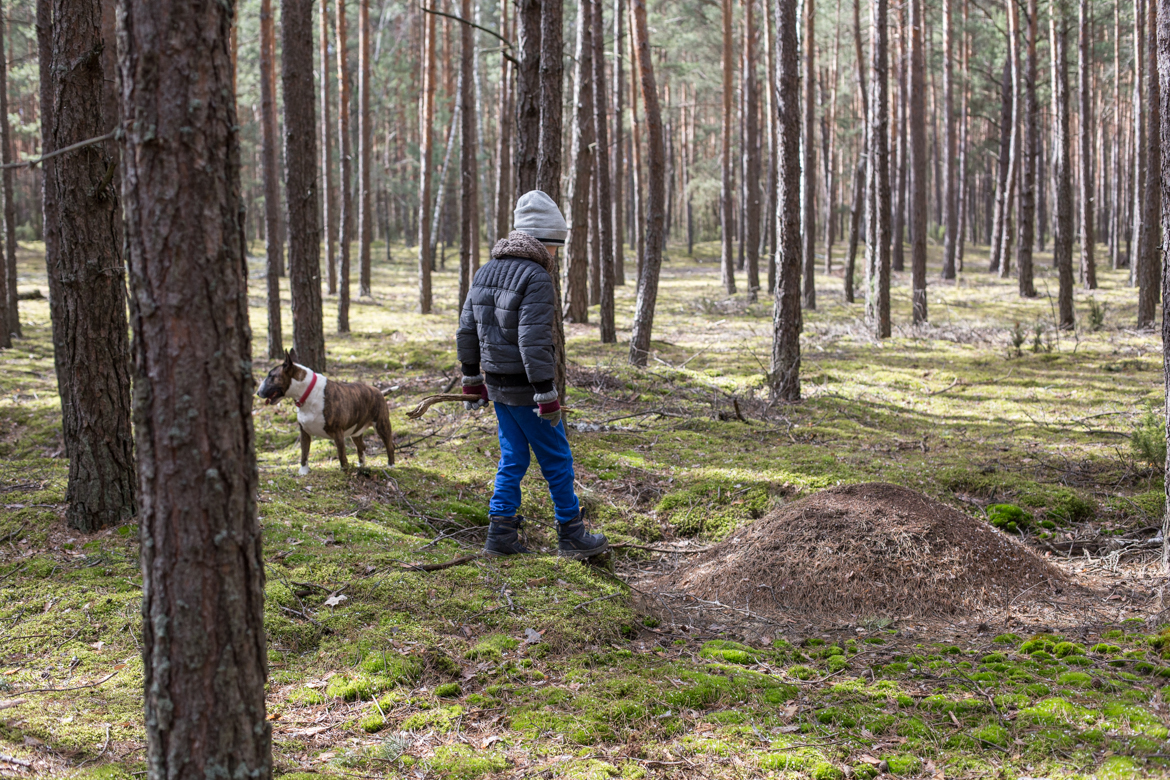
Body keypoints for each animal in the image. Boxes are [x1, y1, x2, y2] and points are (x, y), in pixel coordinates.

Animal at [256, 350, 393, 472]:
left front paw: (345, 470)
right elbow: (304, 453)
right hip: (356, 430)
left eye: (271, 376)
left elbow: (342, 454)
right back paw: (361, 465)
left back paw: (391, 465)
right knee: (362, 446)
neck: (307, 393)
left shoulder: (338, 432)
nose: (257, 393)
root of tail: (379, 391)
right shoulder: (304, 432)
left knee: (389, 445)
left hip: (381, 425)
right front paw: (303, 471)